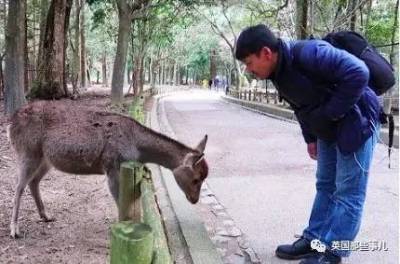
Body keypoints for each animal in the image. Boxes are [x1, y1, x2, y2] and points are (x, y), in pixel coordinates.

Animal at [7, 100, 209, 238]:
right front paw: (124, 228)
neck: (136, 148)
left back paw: (46, 216)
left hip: (46, 160)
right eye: (197, 178)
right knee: (18, 187)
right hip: (28, 151)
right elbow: (119, 201)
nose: (194, 199)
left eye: (204, 177)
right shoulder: (112, 166)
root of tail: (10, 124)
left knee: (33, 182)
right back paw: (15, 230)